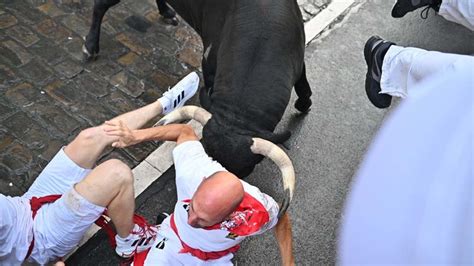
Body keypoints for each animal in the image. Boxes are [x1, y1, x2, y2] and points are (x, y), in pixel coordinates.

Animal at [84, 0, 314, 179]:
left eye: (245, 169)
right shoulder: (209, 63)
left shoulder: (298, 62)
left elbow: (303, 84)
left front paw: (304, 104)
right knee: (100, 5)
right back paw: (90, 46)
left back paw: (167, 12)